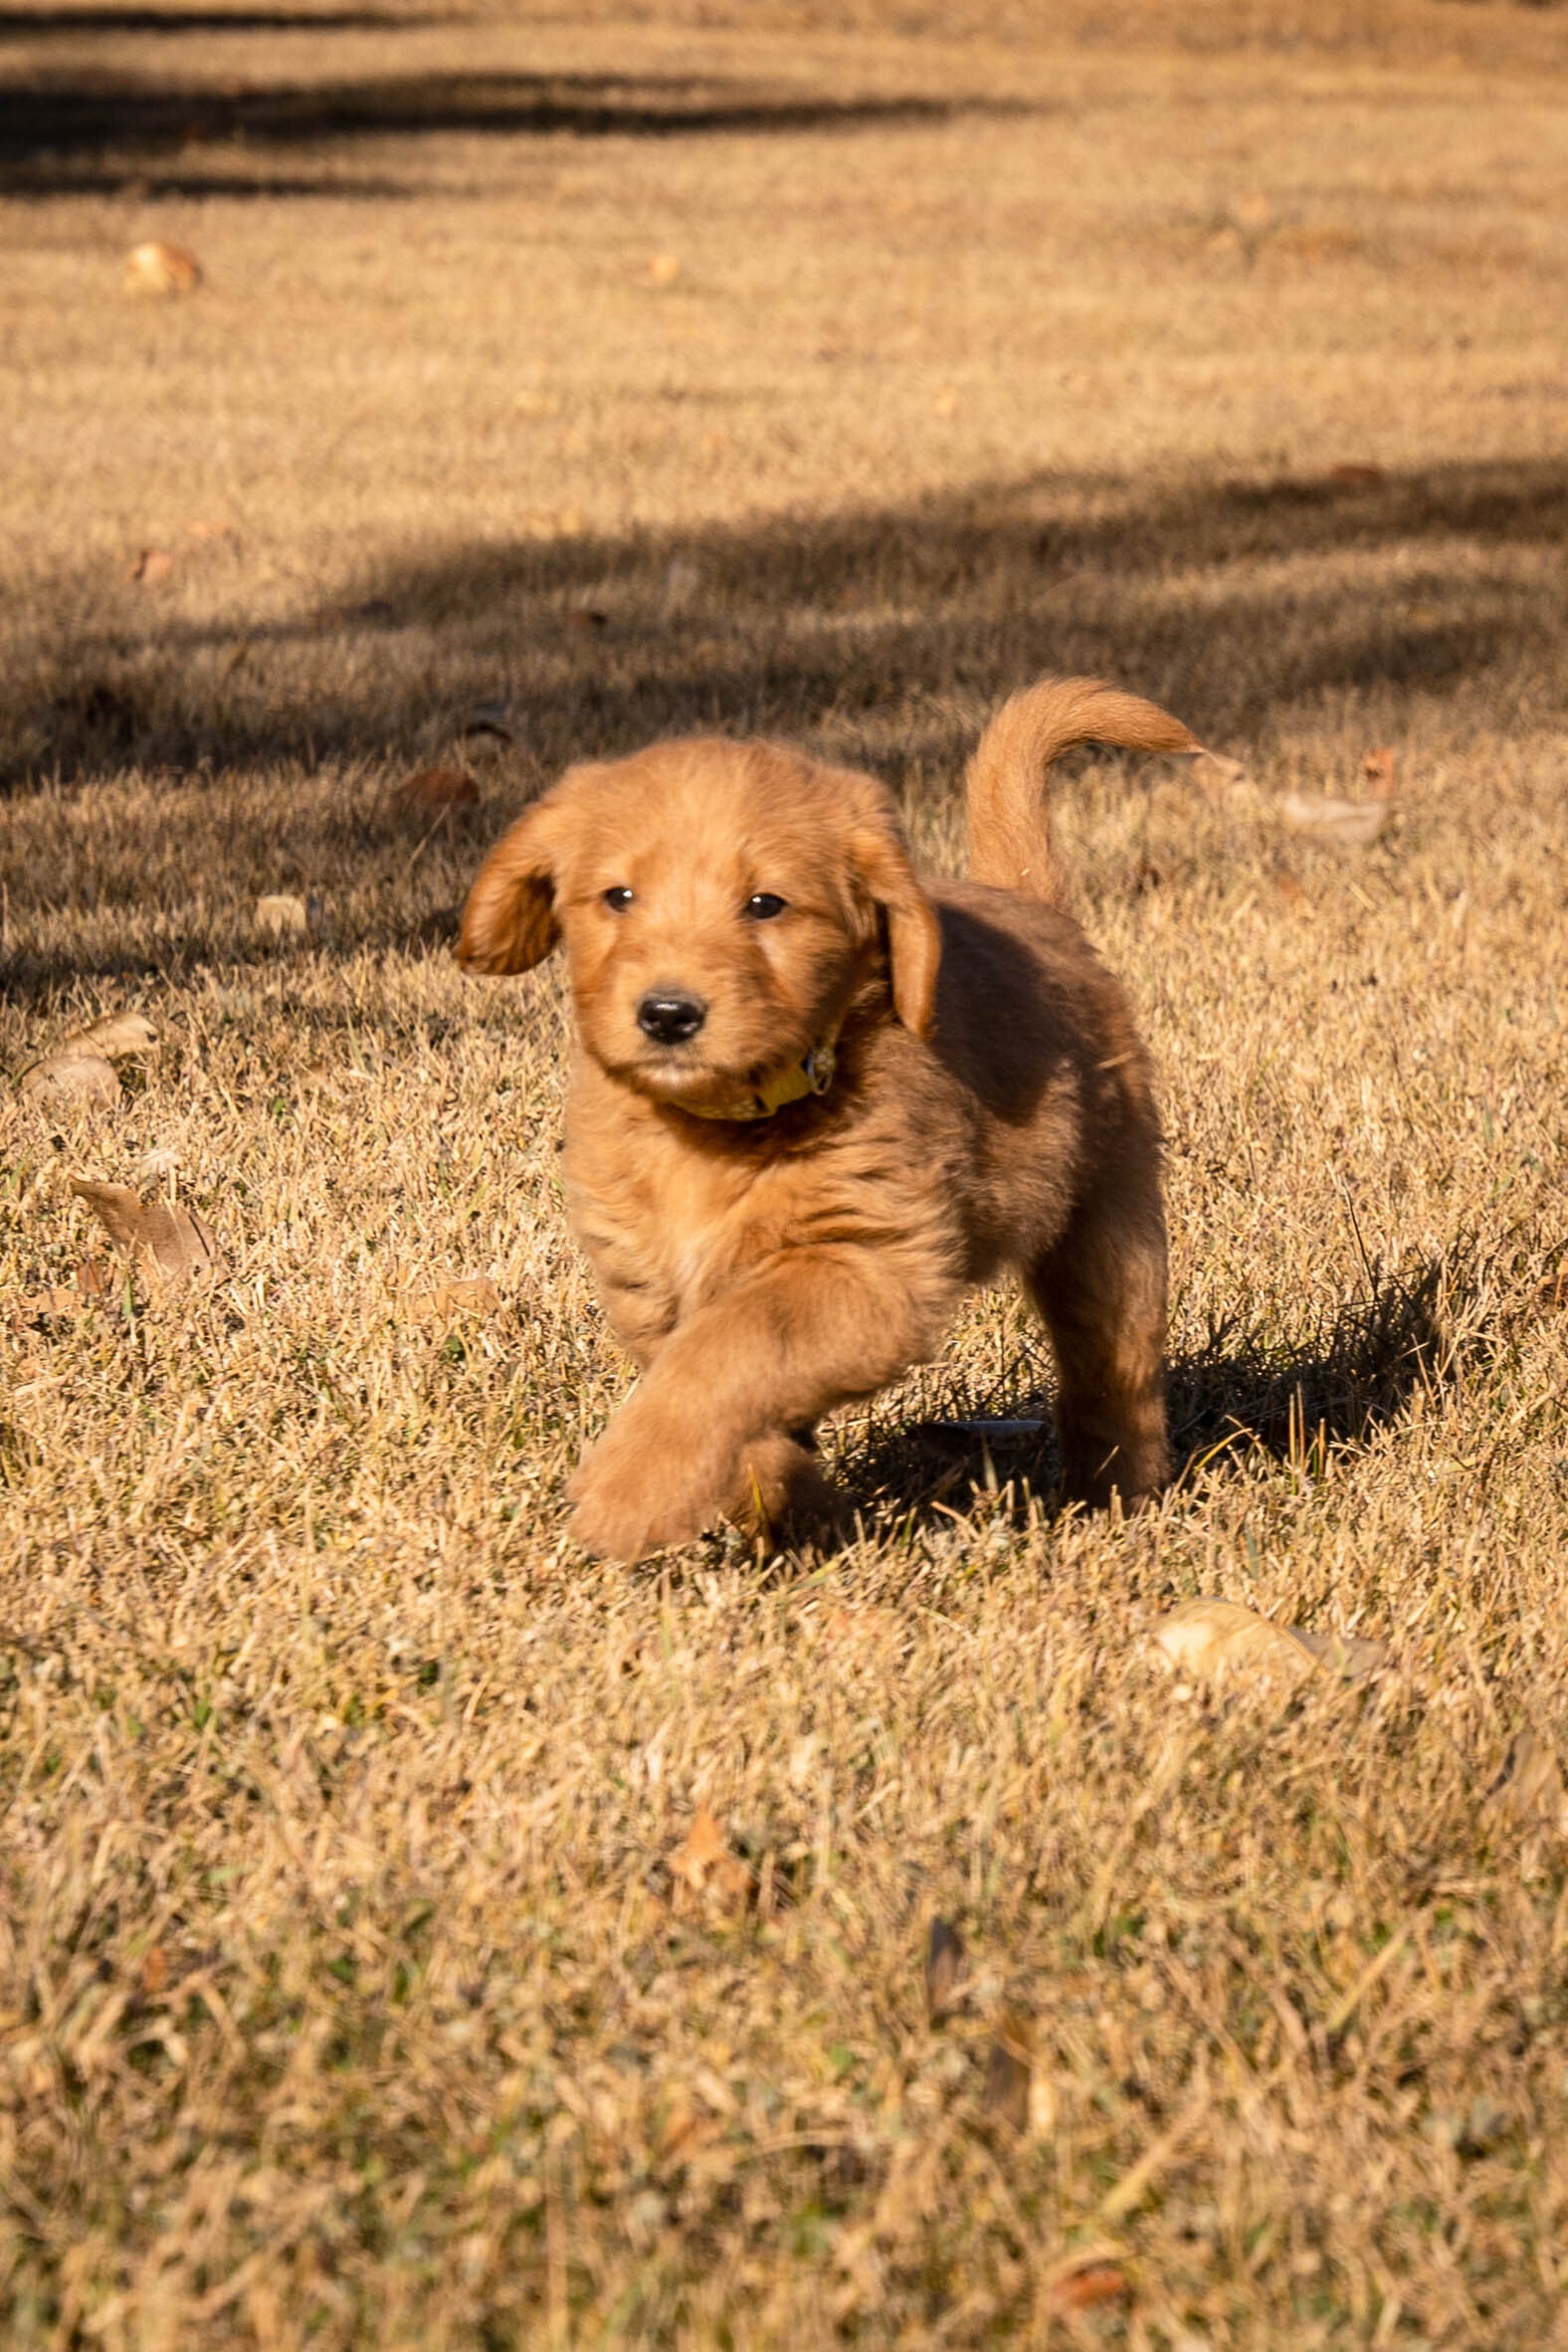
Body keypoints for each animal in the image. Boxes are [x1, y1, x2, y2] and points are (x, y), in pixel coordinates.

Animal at [457, 676, 1200, 1562]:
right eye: (619, 897)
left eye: (765, 905)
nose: (668, 1015)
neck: (717, 1130)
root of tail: (1029, 900)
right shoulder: (649, 1287)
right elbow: (726, 1392)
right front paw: (797, 1506)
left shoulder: (875, 1266)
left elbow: (730, 1349)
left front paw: (628, 1493)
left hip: (1107, 1228)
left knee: (1114, 1374)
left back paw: (1117, 1497)